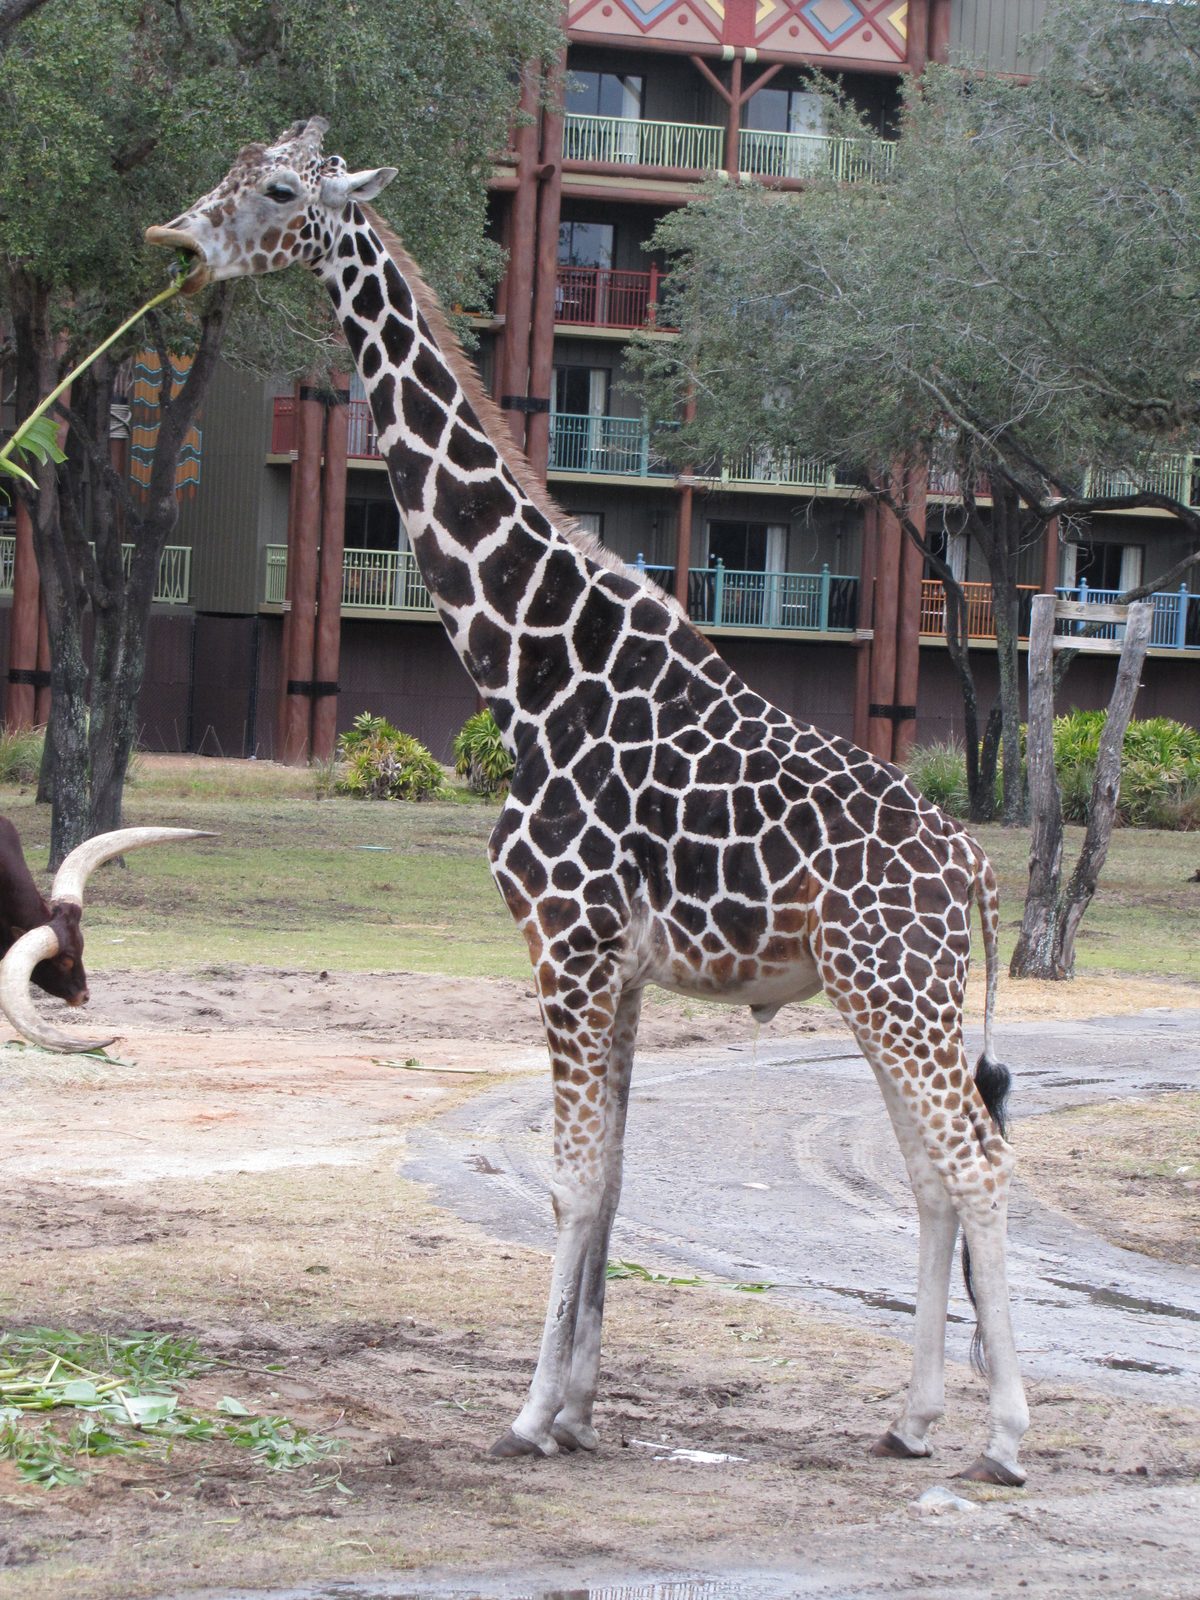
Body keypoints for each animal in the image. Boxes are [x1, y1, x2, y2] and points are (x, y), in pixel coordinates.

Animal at [148, 118, 1029, 1486]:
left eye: (282, 191)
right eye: (233, 175)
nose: (182, 239)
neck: (526, 669)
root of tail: (979, 874)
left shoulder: (563, 940)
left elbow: (568, 1179)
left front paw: (525, 1416)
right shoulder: (615, 965)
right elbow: (608, 1179)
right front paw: (575, 1411)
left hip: (899, 990)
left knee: (979, 1164)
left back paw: (1006, 1438)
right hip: (890, 998)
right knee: (935, 1172)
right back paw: (914, 1417)